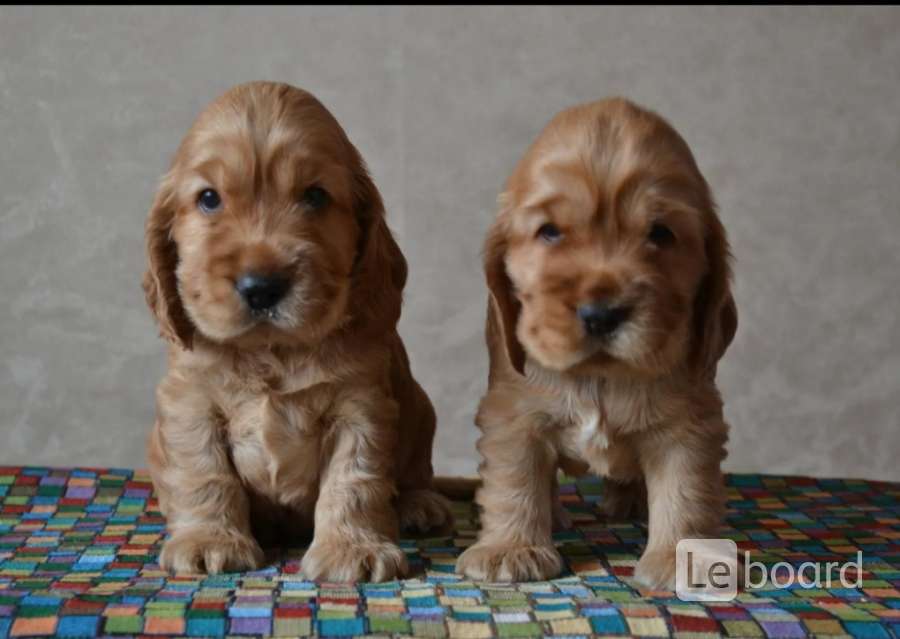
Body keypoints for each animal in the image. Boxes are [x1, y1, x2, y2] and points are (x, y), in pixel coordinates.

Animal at [142, 81, 451, 581]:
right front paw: (210, 540)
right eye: (209, 198)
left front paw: (352, 549)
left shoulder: (361, 406)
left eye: (316, 196)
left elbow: (354, 480)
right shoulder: (190, 401)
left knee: (415, 471)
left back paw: (418, 505)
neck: (273, 350)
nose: (262, 287)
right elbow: (203, 472)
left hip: (420, 408)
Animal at [455, 98, 738, 589]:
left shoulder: (690, 423)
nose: (602, 314)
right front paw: (510, 548)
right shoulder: (512, 413)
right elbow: (514, 479)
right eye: (549, 231)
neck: (600, 376)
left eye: (660, 233)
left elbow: (686, 489)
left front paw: (681, 557)